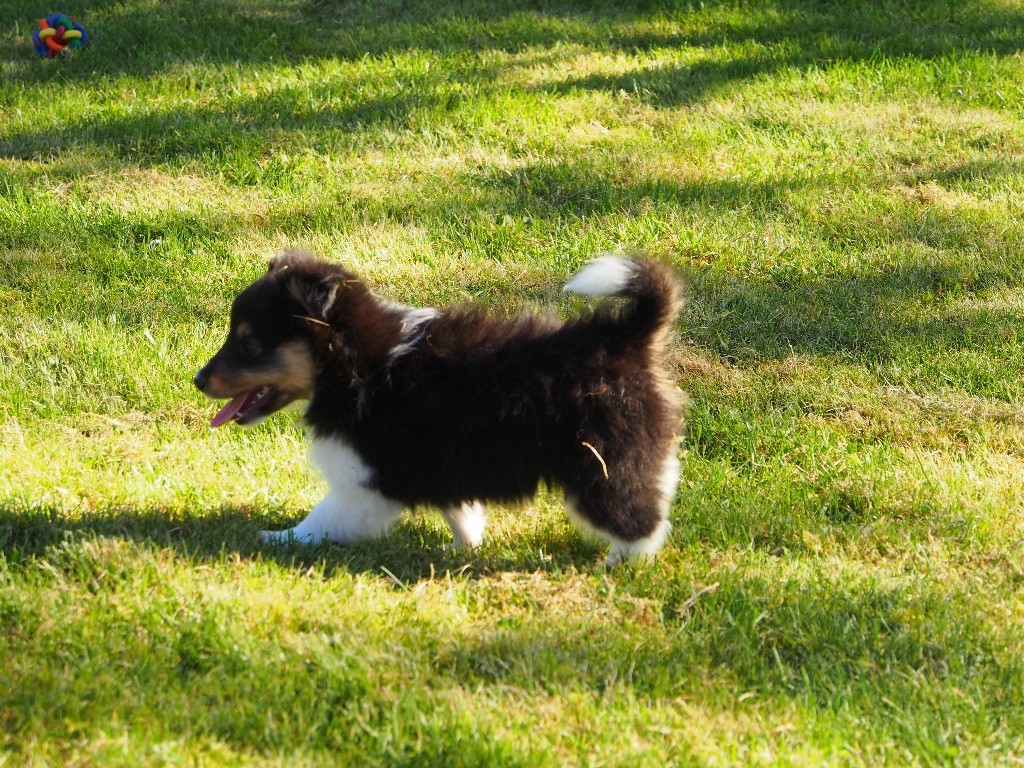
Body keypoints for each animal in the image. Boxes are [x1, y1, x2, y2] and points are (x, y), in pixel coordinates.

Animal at [195, 252, 684, 565]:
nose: (197, 381)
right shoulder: (442, 461)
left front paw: (276, 539)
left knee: (638, 518)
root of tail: (627, 338)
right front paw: (464, 547)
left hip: (601, 463)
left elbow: (322, 519)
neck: (353, 363)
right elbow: (460, 511)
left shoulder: (365, 479)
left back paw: (623, 565)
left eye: (249, 345)